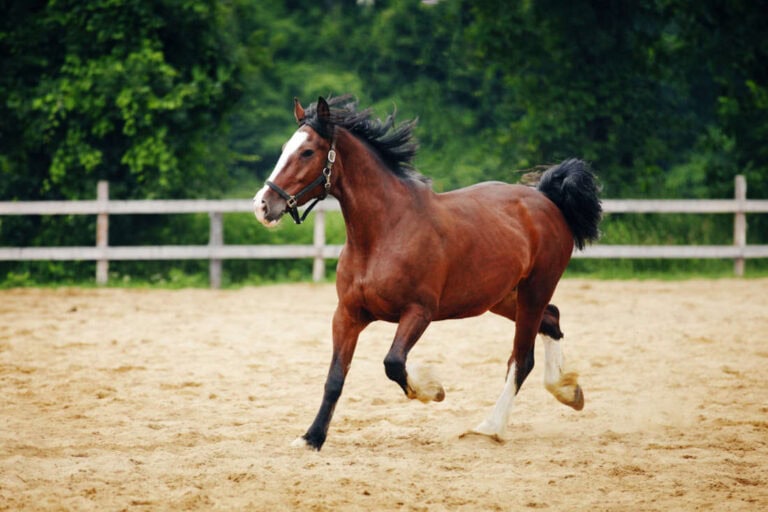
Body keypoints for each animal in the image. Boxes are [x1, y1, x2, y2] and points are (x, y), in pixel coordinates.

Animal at [253, 95, 602, 451]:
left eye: (308, 152)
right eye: (285, 147)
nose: (262, 206)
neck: (383, 234)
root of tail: (546, 200)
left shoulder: (419, 312)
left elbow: (393, 363)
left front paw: (433, 391)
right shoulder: (347, 315)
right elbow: (335, 378)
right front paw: (311, 438)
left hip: (535, 289)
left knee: (522, 358)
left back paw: (490, 427)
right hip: (502, 298)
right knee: (552, 319)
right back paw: (568, 391)